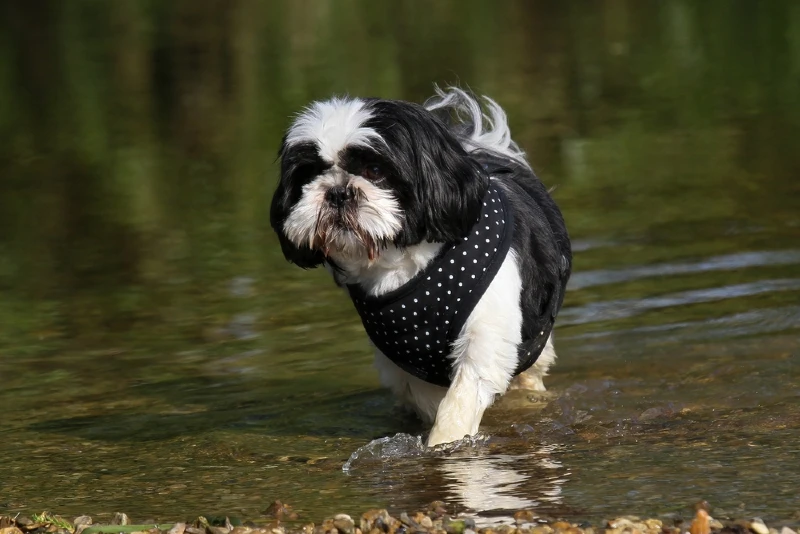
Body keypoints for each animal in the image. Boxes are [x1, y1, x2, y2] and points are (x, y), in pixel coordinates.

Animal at [272, 88, 572, 448]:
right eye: (308, 174)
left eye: (374, 170)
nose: (338, 192)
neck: (404, 262)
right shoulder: (404, 364)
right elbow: (428, 400)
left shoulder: (485, 338)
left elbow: (460, 400)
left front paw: (445, 444)